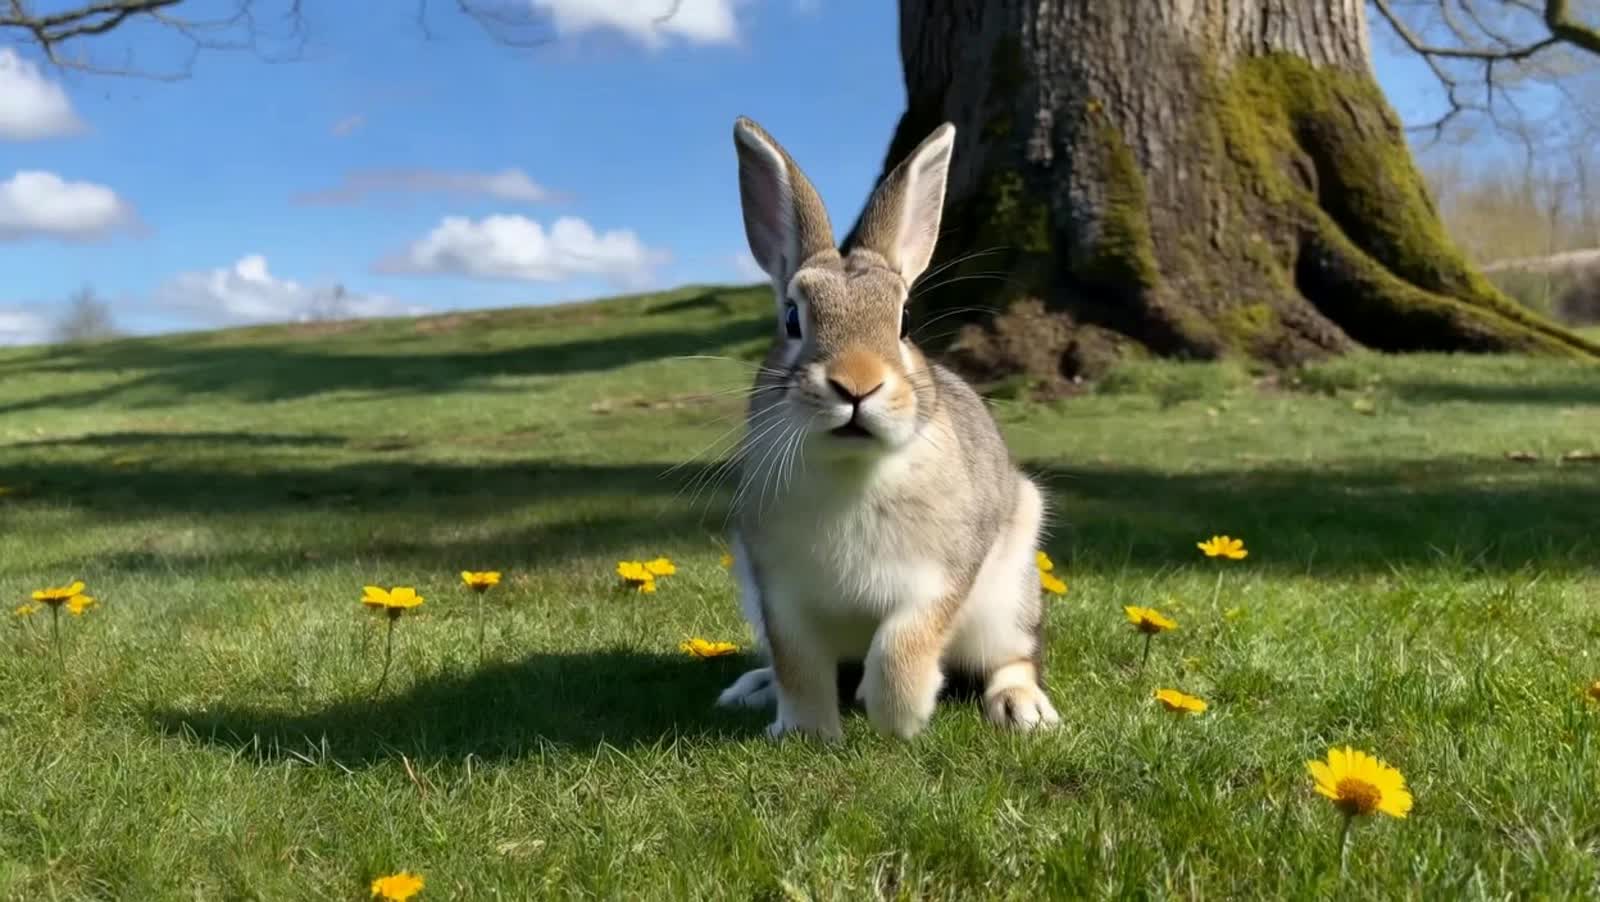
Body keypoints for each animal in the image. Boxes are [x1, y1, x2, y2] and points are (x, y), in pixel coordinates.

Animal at [713, 115, 1061, 741]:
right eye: (791, 318)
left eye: (904, 321)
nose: (857, 386)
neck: (853, 468)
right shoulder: (779, 596)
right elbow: (799, 665)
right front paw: (805, 731)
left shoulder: (942, 580)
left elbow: (904, 643)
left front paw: (900, 715)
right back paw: (752, 689)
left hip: (1007, 599)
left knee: (1014, 657)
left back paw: (1024, 710)